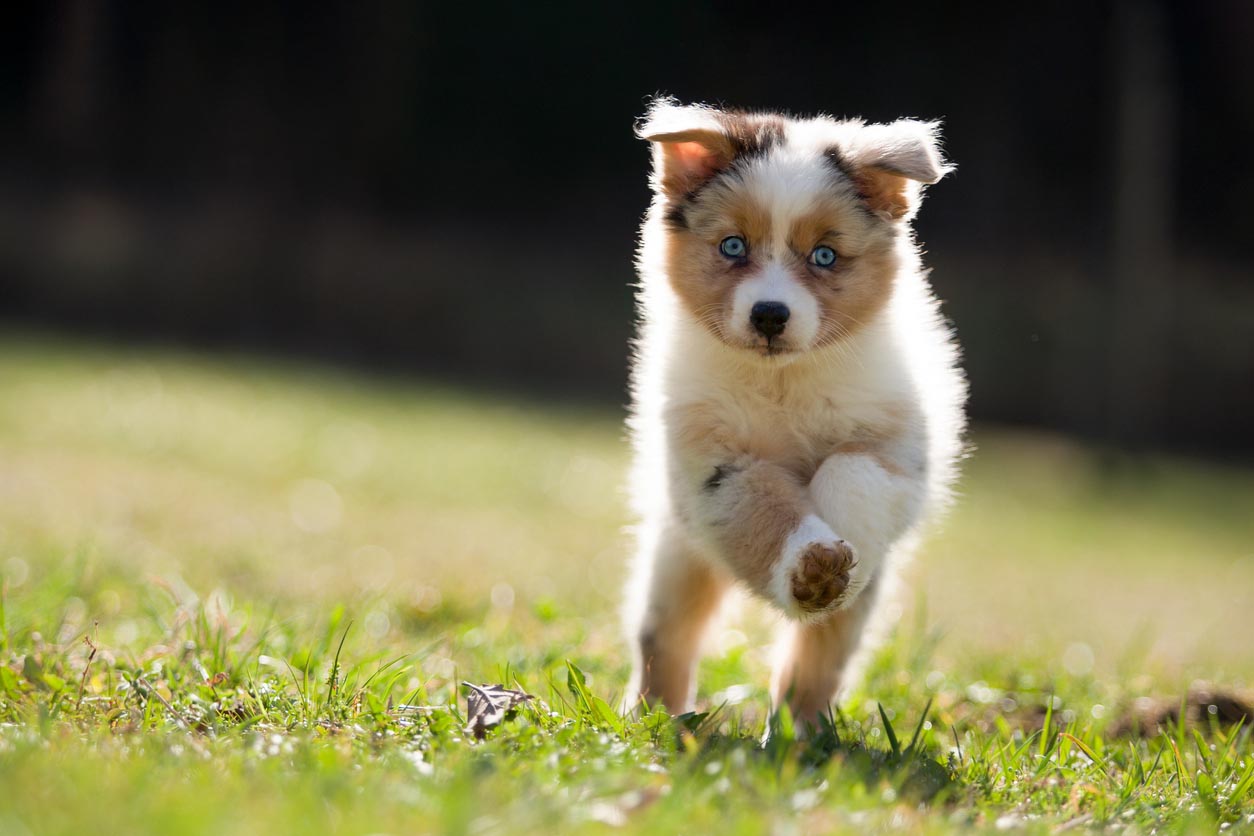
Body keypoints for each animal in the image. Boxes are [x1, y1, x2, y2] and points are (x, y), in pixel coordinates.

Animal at [621, 96, 963, 726]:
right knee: (667, 637)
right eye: (733, 246)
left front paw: (838, 556)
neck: (782, 381)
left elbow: (851, 471)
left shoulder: (897, 450)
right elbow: (764, 509)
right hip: (676, 553)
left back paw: (800, 730)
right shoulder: (714, 465)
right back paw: (656, 716)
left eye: (824, 255)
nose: (770, 315)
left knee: (817, 657)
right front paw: (810, 564)